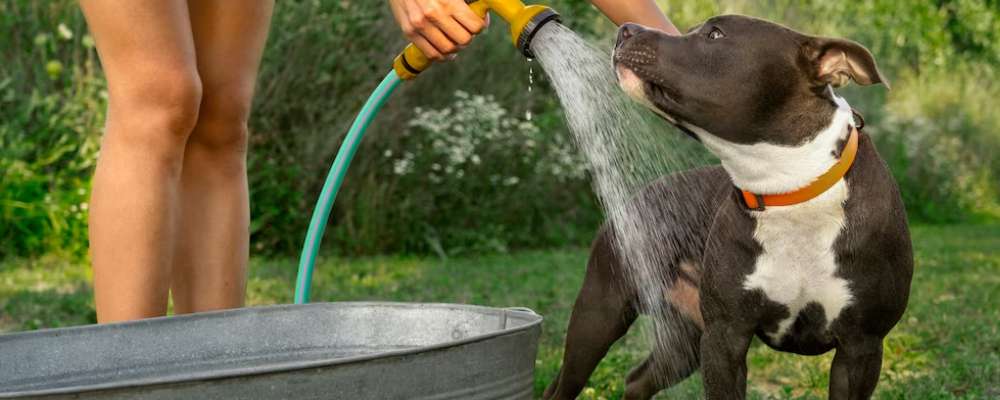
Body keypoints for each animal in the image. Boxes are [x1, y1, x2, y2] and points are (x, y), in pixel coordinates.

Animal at [544, 14, 912, 398]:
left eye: (715, 34)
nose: (626, 29)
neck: (790, 189)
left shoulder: (861, 348)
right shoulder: (725, 337)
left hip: (685, 338)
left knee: (639, 379)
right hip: (599, 314)